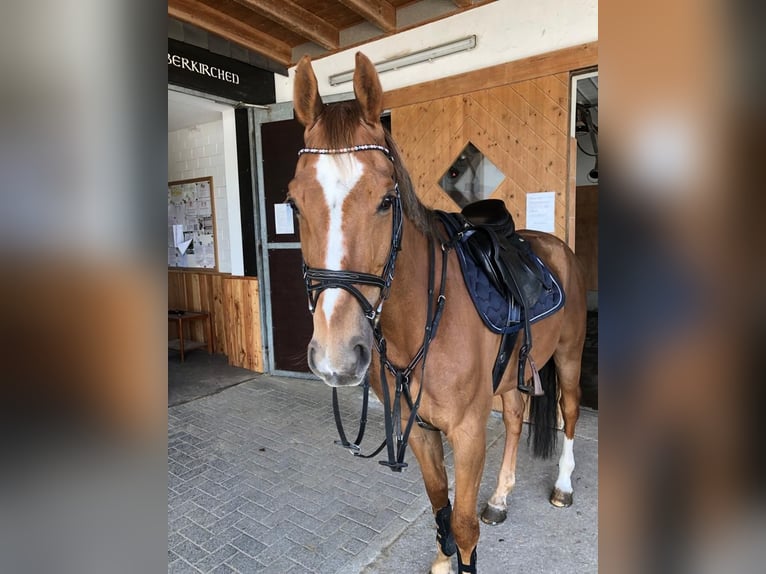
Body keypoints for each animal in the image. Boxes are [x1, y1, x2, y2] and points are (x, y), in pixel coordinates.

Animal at [287, 52, 587, 574]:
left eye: (386, 200)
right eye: (293, 202)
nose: (336, 356)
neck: (423, 320)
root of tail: (555, 247)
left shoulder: (466, 434)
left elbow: (463, 525)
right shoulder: (421, 430)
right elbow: (440, 507)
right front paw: (444, 560)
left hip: (568, 358)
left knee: (569, 413)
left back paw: (563, 487)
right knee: (514, 419)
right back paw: (500, 499)